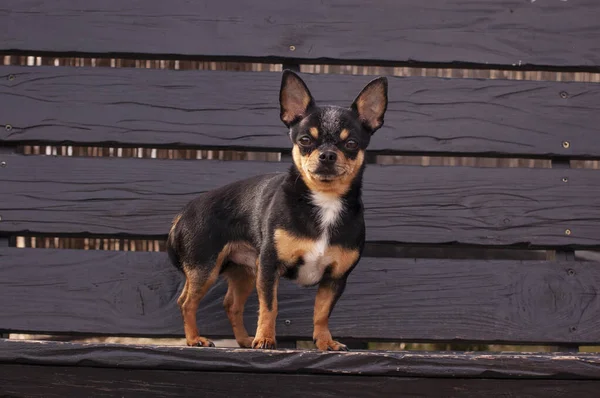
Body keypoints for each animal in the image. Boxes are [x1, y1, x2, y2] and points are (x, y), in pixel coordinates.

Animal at [166, 70, 386, 350]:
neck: (323, 201)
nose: (327, 155)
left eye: (351, 144)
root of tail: (183, 213)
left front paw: (325, 342)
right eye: (305, 140)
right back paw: (195, 339)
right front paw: (266, 339)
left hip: (244, 272)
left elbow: (321, 312)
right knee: (186, 302)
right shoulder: (270, 267)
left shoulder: (334, 278)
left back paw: (244, 340)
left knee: (231, 305)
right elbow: (269, 307)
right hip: (205, 268)